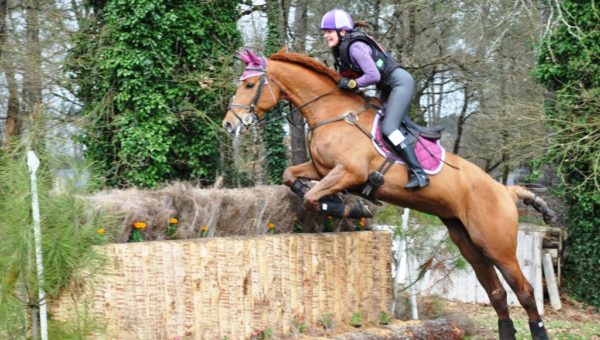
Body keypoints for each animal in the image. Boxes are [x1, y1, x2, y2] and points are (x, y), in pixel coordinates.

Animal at [224, 48, 552, 340]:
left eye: (249, 85)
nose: (229, 124)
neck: (332, 113)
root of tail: (504, 189)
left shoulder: (349, 172)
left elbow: (314, 197)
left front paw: (354, 208)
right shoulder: (321, 169)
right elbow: (291, 178)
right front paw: (332, 201)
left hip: (497, 246)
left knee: (524, 291)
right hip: (469, 243)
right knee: (496, 292)